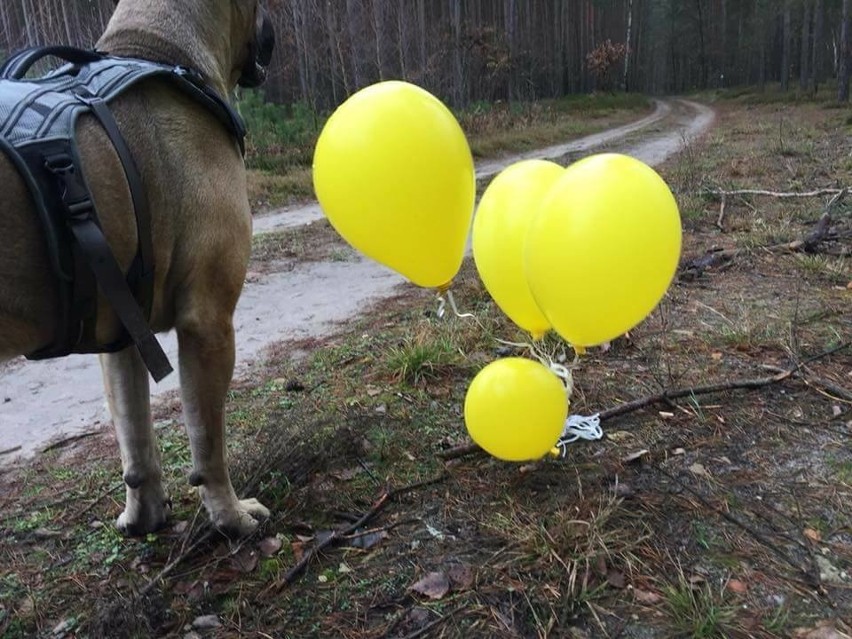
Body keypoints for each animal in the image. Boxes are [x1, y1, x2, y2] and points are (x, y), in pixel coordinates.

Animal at [0, 0, 274, 536]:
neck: (158, 49)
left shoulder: (122, 331)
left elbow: (135, 438)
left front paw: (144, 516)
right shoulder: (208, 322)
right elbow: (207, 441)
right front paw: (230, 515)